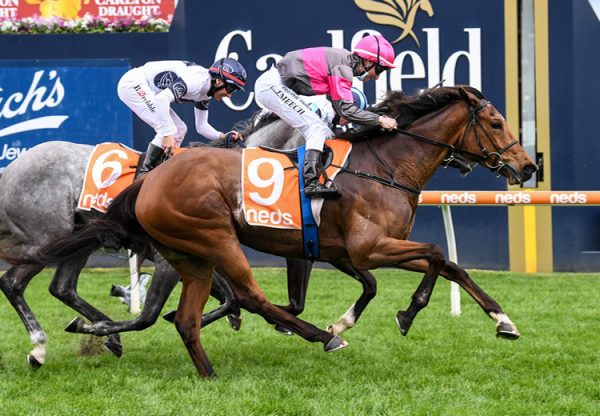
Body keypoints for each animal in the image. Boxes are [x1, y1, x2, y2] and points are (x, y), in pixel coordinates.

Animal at [5, 87, 536, 376]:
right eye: (495, 121)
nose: (527, 166)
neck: (382, 167)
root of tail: (11, 169)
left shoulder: (333, 251)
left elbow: (438, 264)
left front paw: (498, 320)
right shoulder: (368, 247)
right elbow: (436, 255)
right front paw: (411, 313)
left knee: (64, 287)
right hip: (173, 239)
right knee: (19, 282)